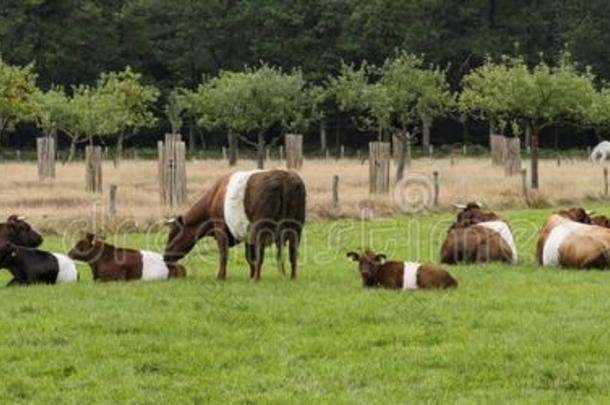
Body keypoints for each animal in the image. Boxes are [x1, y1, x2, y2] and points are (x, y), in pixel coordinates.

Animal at [163, 169, 304, 280]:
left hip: (261, 228)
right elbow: (249, 257)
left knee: (261, 253)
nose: (165, 256)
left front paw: (221, 277)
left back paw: (257, 279)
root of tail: (285, 177)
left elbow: (224, 254)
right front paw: (250, 275)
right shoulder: (248, 235)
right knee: (293, 254)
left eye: (172, 234)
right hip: (295, 228)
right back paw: (292, 277)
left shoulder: (220, 227)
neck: (214, 197)